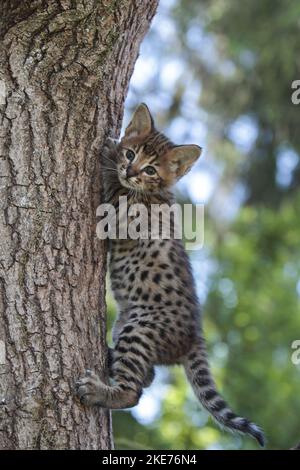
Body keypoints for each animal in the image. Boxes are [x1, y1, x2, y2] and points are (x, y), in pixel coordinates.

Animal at [75, 103, 264, 448]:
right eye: (132, 154)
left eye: (151, 170)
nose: (130, 170)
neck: (156, 192)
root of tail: (196, 334)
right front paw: (113, 151)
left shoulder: (121, 216)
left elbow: (114, 193)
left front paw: (108, 152)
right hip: (126, 325)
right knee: (147, 376)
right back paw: (109, 357)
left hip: (141, 329)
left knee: (134, 391)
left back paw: (99, 391)